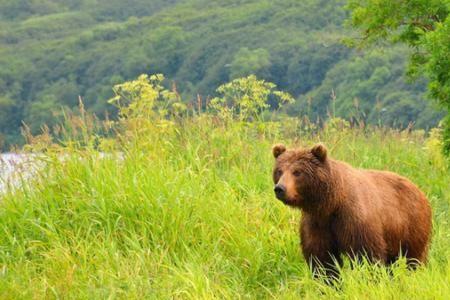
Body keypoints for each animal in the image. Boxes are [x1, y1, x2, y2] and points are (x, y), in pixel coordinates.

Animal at [270, 143, 432, 276]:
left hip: (411, 223)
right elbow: (322, 259)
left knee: (414, 257)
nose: (280, 189)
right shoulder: (317, 223)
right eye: (279, 171)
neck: (330, 203)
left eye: (297, 172)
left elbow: (366, 255)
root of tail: (419, 190)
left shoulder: (354, 219)